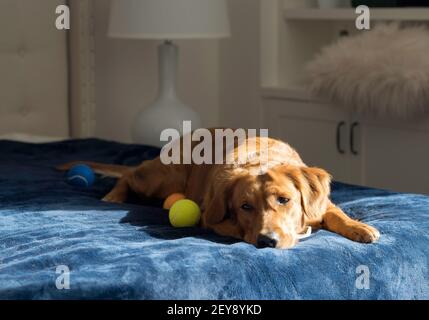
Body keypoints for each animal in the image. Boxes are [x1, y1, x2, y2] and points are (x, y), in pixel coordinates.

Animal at [56, 129, 378, 249]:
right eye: (245, 206)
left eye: (284, 199)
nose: (267, 241)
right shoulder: (211, 216)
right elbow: (228, 227)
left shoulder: (320, 204)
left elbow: (336, 214)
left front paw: (360, 228)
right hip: (161, 179)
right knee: (129, 176)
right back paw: (113, 195)